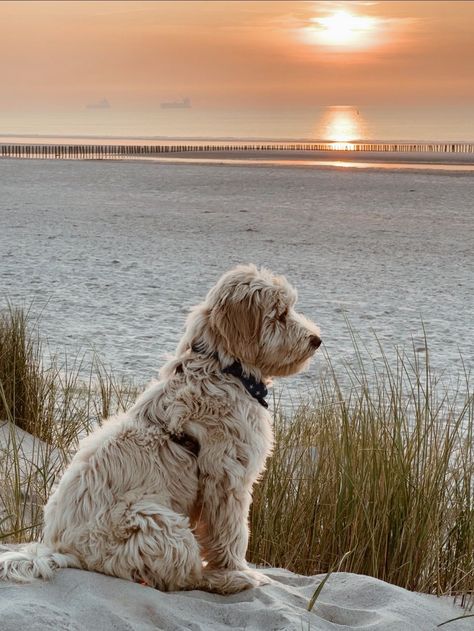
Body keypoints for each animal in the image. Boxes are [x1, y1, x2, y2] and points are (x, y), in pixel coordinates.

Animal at [0, 264, 320, 596]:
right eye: (280, 314)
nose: (317, 340)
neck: (223, 368)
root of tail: (60, 550)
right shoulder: (227, 478)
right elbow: (232, 533)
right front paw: (237, 569)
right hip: (158, 523)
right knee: (182, 576)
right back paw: (225, 580)